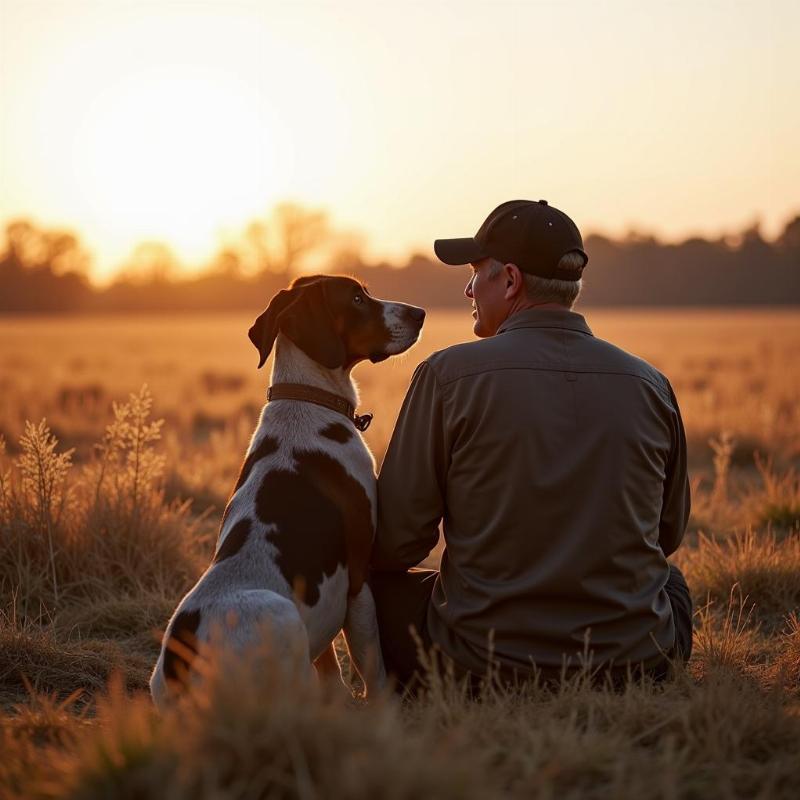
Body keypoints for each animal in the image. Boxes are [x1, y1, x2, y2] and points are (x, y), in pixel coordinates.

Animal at [150, 276, 424, 708]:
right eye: (358, 298)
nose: (420, 314)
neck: (306, 397)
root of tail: (185, 670)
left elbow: (330, 667)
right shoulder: (359, 575)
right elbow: (371, 662)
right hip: (283, 614)